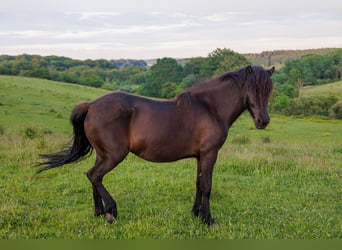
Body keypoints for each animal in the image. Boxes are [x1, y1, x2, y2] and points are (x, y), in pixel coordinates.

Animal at [35, 65, 276, 226]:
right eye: (254, 89)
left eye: (269, 91)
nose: (263, 121)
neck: (210, 107)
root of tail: (91, 105)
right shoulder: (210, 154)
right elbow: (207, 186)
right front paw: (208, 219)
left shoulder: (201, 156)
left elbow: (199, 184)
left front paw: (196, 214)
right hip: (113, 156)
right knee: (94, 176)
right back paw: (111, 211)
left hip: (103, 155)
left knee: (94, 177)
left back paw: (100, 212)